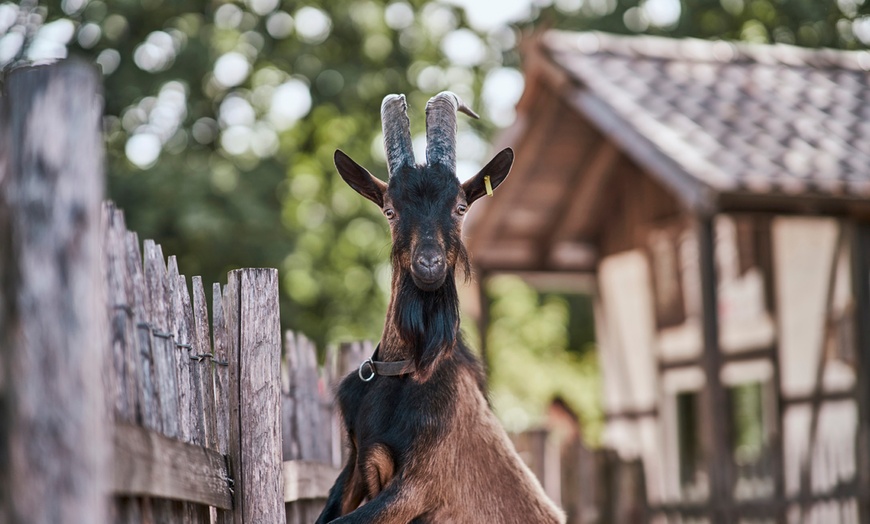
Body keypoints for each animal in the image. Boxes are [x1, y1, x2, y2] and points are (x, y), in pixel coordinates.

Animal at [316, 93, 568, 524]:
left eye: (461, 207)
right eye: (390, 210)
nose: (429, 265)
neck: (405, 369)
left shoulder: (419, 484)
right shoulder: (354, 467)